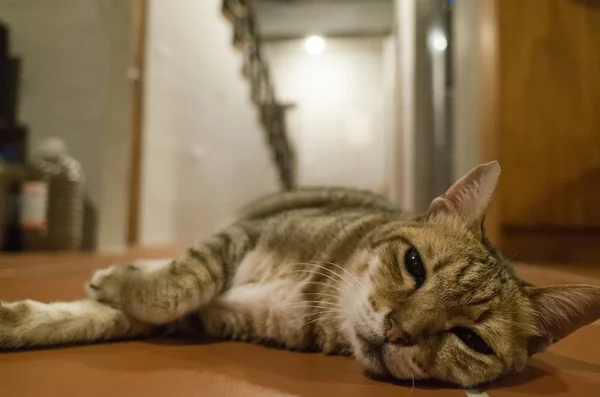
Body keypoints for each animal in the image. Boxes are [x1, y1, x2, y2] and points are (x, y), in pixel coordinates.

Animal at [1, 159, 600, 386]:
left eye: (472, 340)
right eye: (414, 265)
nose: (397, 332)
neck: (316, 298)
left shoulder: (201, 317)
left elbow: (124, 309)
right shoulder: (238, 238)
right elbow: (177, 283)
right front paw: (112, 281)